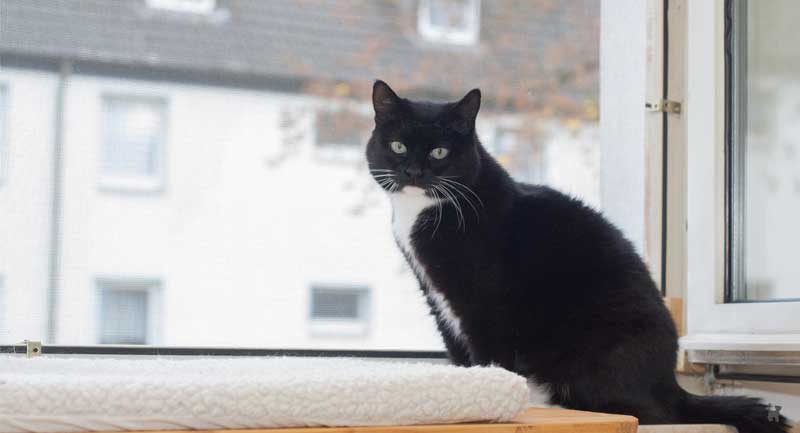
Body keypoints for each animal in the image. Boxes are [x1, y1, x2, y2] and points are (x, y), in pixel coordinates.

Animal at [368, 78, 788, 432]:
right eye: (397, 146)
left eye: (439, 152)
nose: (413, 171)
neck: (422, 212)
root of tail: (671, 383)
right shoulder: (438, 298)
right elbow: (458, 351)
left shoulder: (484, 301)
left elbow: (490, 352)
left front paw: (491, 396)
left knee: (646, 412)